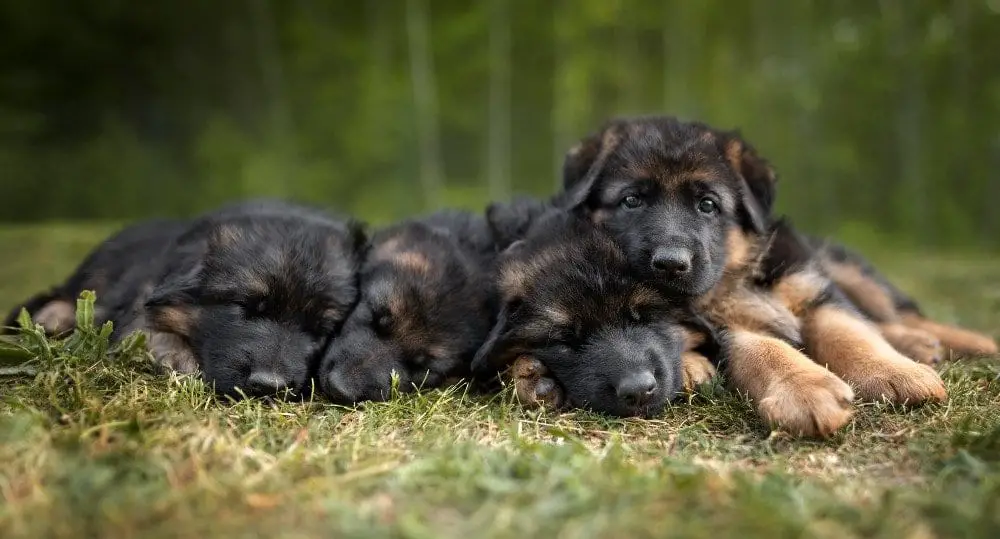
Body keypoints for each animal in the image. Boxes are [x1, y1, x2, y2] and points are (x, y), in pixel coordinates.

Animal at [552, 116, 948, 436]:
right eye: (631, 200)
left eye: (707, 205)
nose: (670, 264)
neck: (737, 273)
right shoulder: (724, 327)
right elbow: (766, 349)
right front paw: (805, 390)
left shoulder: (813, 287)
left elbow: (850, 332)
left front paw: (895, 373)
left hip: (852, 275)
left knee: (900, 316)